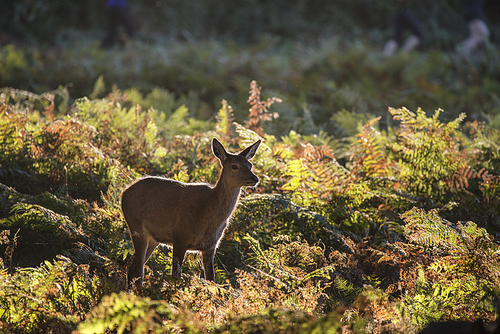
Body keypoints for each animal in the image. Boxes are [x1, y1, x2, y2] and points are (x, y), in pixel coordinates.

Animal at [121, 137, 262, 286]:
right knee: (138, 270)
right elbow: (175, 277)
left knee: (133, 267)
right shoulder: (179, 237)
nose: (254, 178)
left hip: (153, 238)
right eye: (234, 166)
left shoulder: (211, 246)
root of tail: (124, 192)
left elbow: (211, 279)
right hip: (136, 226)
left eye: (250, 165)